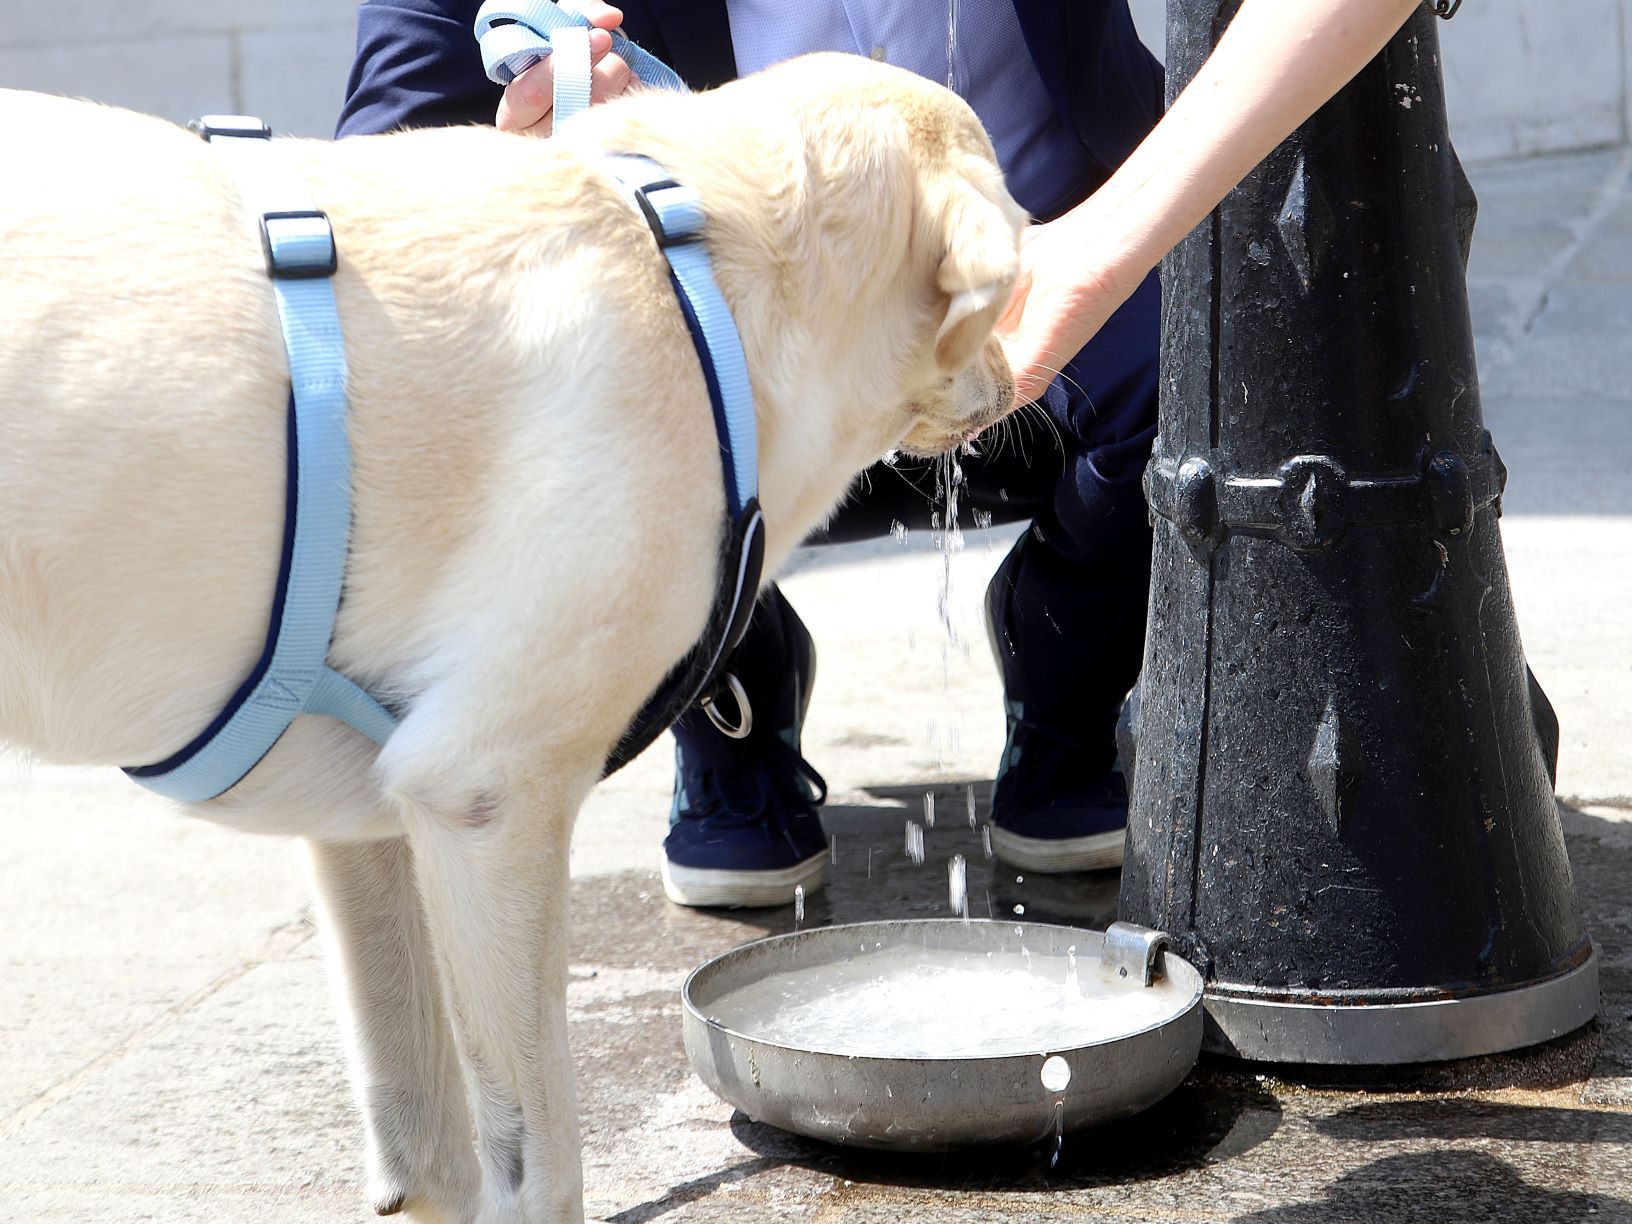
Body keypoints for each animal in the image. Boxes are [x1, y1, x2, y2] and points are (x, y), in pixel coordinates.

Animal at [0, 55, 1018, 1224]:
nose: (1021, 376)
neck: (701, 277)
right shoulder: (491, 792)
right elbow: (539, 1159)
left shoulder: (370, 828)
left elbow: (425, 1147)